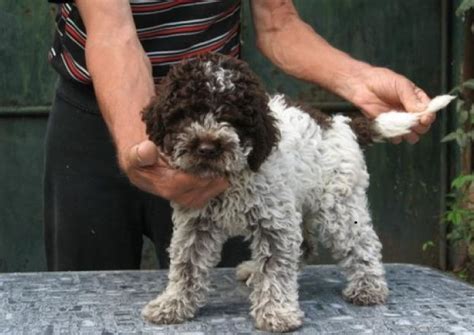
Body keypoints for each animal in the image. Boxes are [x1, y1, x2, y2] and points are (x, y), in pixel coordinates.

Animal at [140, 53, 452, 332]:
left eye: (233, 118)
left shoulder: (274, 222)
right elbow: (186, 265)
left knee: (362, 243)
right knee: (305, 246)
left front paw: (276, 313)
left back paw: (369, 287)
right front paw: (173, 304)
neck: (235, 173)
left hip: (338, 206)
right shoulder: (196, 222)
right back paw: (253, 270)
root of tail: (342, 124)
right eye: (184, 114)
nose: (206, 149)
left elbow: (276, 268)